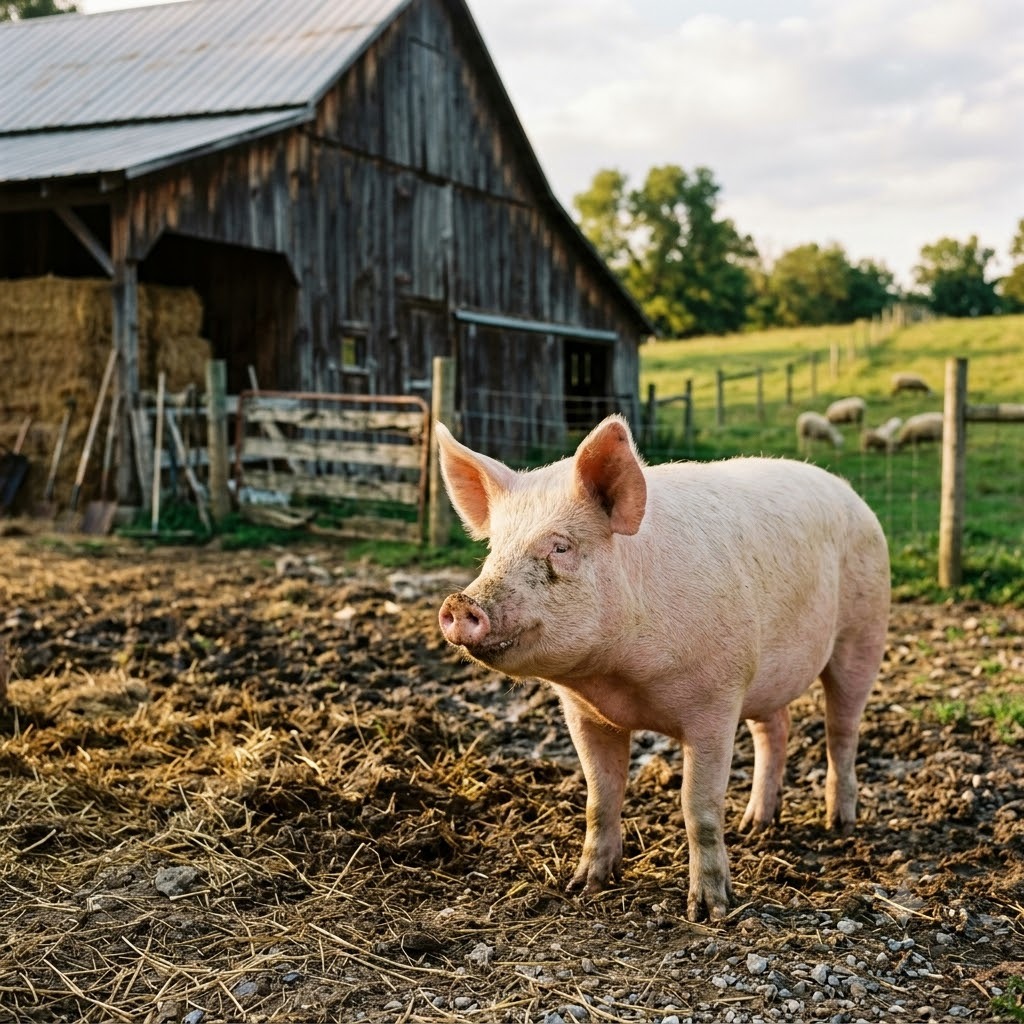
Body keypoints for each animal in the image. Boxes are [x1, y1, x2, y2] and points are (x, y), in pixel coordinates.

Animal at [436, 415, 890, 922]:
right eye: (494, 548)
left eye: (560, 547)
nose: (460, 603)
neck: (619, 679)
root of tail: (850, 493)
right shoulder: (584, 712)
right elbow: (600, 797)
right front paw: (584, 886)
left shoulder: (716, 701)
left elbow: (699, 807)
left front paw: (709, 911)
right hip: (764, 674)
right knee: (776, 727)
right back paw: (755, 825)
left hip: (864, 629)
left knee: (841, 728)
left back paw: (839, 824)